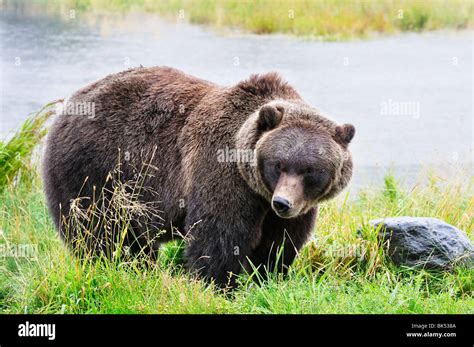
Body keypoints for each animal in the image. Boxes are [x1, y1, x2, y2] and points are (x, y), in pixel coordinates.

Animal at [42, 66, 356, 290]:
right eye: (278, 164)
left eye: (310, 170)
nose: (283, 203)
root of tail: (68, 105)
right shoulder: (221, 172)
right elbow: (219, 236)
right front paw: (220, 285)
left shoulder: (295, 207)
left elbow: (280, 243)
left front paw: (267, 278)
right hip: (95, 169)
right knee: (99, 230)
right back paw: (116, 267)